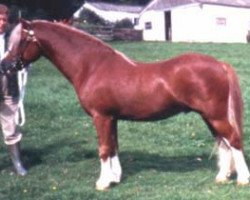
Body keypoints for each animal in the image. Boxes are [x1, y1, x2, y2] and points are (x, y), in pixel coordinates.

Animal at [0, 19, 249, 190]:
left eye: (21, 41)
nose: (5, 66)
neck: (92, 66)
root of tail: (219, 63)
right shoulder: (112, 118)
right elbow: (113, 147)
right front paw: (115, 177)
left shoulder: (101, 117)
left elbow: (104, 149)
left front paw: (102, 182)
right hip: (209, 116)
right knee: (224, 143)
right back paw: (222, 177)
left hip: (215, 115)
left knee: (234, 140)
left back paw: (243, 179)